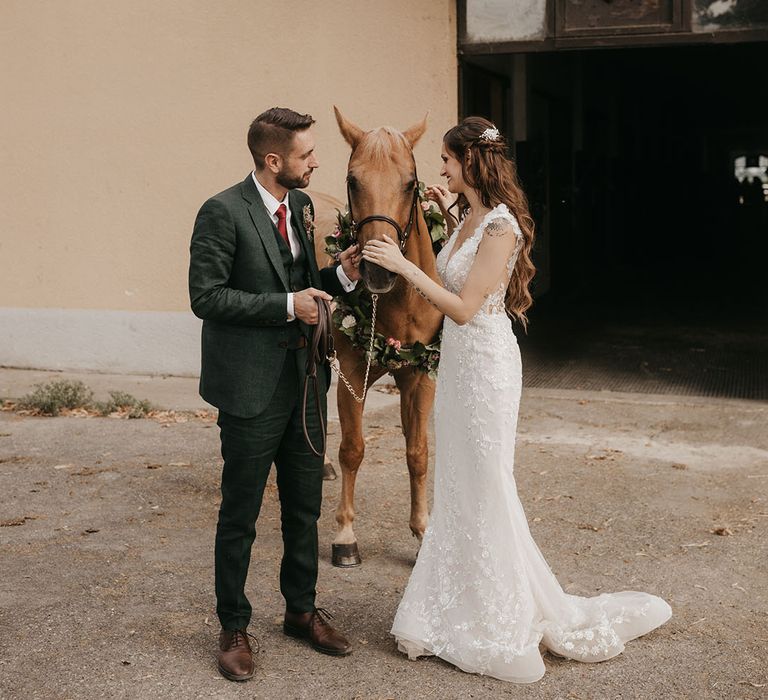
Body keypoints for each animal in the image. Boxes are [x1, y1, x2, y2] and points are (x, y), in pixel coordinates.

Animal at [324, 109, 444, 568]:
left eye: (410, 183)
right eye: (352, 179)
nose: (378, 269)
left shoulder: (419, 373)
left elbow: (417, 452)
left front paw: (422, 531)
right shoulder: (352, 373)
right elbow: (353, 448)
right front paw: (344, 535)